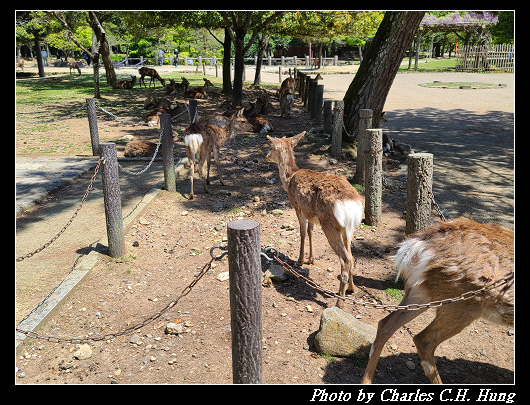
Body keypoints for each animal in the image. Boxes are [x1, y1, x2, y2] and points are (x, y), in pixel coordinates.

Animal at [264, 133, 364, 306]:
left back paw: (339, 302)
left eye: (271, 146)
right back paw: (351, 288)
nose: (266, 156)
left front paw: (300, 260)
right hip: (348, 228)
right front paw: (311, 259)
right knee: (351, 257)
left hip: (330, 225)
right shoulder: (310, 213)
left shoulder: (297, 207)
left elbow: (302, 233)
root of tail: (352, 204)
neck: (289, 179)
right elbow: (310, 232)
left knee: (345, 259)